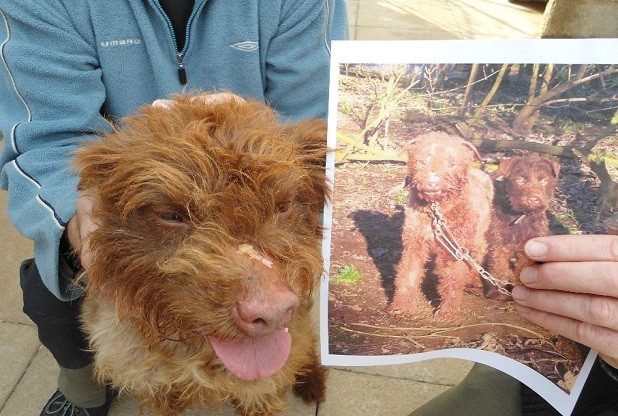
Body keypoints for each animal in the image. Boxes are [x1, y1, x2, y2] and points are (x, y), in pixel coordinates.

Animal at [390, 132, 490, 318]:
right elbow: (408, 275)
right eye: (421, 161)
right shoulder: (414, 244)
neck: (437, 210)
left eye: (452, 163)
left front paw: (447, 313)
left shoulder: (457, 250)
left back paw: (473, 280)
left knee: (477, 258)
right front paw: (401, 306)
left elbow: (452, 281)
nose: (432, 183)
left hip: (478, 238)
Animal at [484, 154, 560, 298]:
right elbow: (498, 266)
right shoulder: (499, 241)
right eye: (520, 180)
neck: (521, 217)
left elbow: (524, 268)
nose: (534, 199)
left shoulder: (531, 245)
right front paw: (496, 291)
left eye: (544, 181)